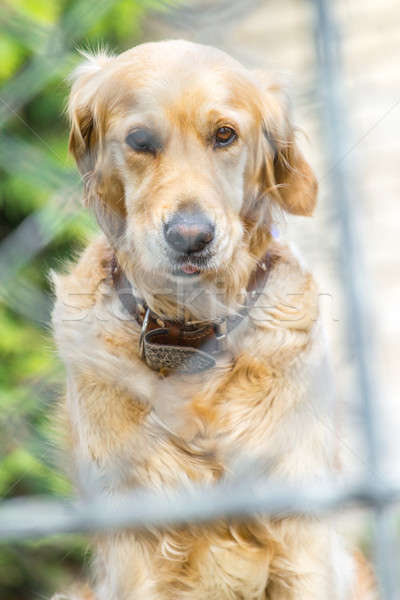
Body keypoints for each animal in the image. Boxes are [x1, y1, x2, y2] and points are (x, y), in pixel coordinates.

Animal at [50, 39, 376, 596]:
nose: (190, 237)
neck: (191, 337)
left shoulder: (303, 541)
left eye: (224, 135)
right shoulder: (135, 550)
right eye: (139, 140)